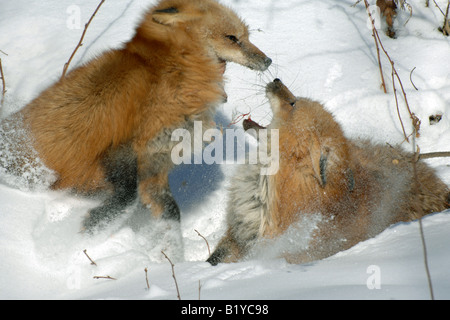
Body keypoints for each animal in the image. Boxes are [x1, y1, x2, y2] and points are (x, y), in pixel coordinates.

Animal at [0, 0, 270, 231]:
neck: (175, 72)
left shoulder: (156, 164)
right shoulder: (125, 147)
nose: (268, 60)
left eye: (246, 37)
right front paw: (89, 230)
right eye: (232, 38)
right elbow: (126, 198)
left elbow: (170, 212)